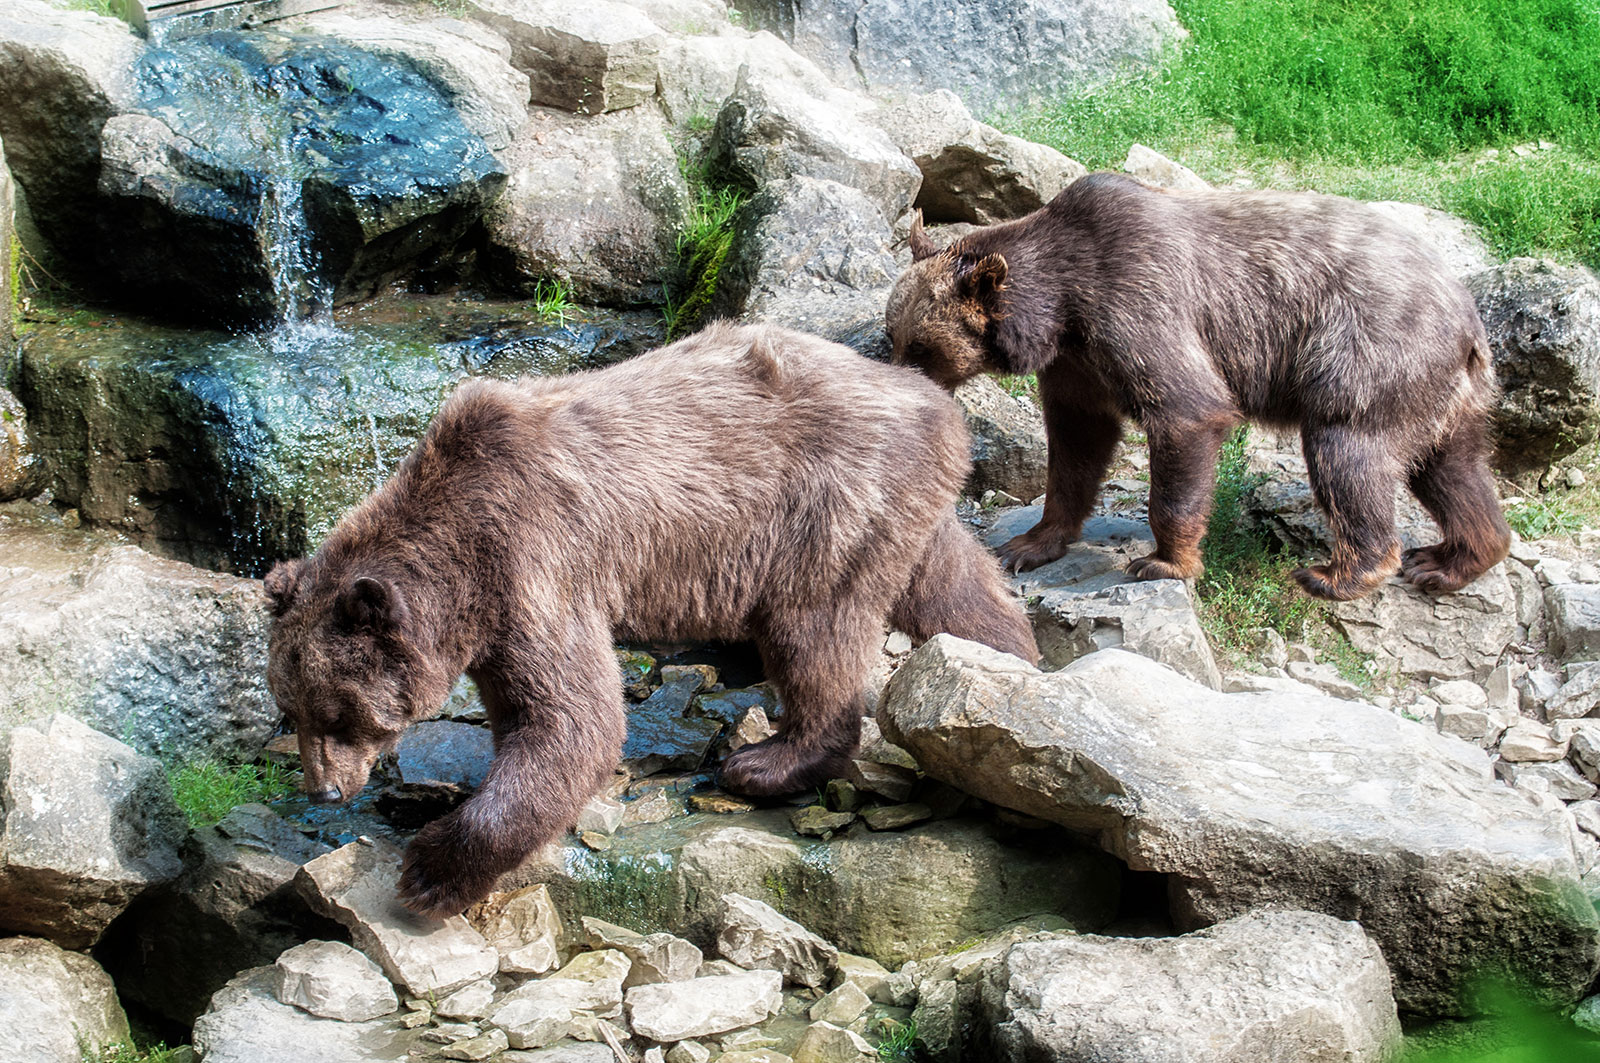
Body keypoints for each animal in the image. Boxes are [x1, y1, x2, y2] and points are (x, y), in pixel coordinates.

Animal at [262, 320, 1036, 915]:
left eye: (339, 713)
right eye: (288, 710)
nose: (322, 788)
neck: (457, 561)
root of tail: (934, 402)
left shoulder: (533, 560)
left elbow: (575, 718)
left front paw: (429, 870)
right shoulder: (495, 618)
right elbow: (527, 711)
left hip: (827, 506)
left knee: (814, 631)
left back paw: (766, 761)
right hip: (904, 510)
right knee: (954, 586)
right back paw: (1011, 662)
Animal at [889, 175, 1510, 605]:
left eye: (920, 347)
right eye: (893, 333)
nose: (899, 380)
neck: (1062, 307)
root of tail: (1468, 318)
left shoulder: (1136, 304)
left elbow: (1187, 414)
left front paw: (1165, 562)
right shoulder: (1079, 366)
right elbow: (1076, 446)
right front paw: (1028, 544)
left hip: (1366, 357)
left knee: (1349, 453)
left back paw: (1338, 573)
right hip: (1444, 395)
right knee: (1452, 469)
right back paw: (1448, 560)